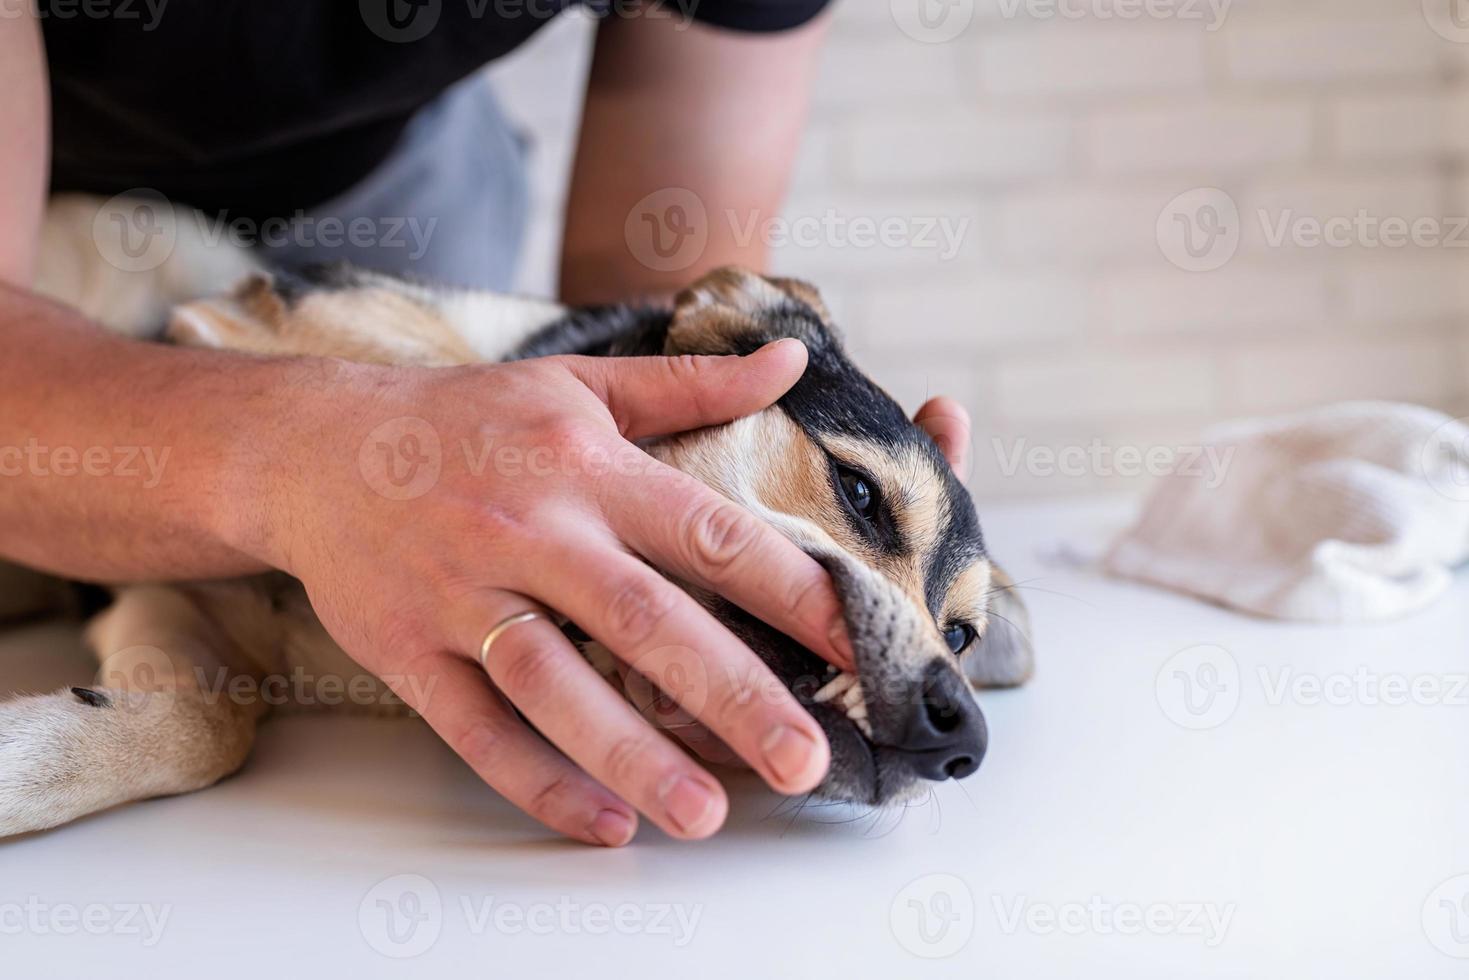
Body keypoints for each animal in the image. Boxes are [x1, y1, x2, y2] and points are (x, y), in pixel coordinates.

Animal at [0, 196, 1034, 834]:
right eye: (859, 494)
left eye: (962, 635)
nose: (964, 737)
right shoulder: (255, 315)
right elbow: (440, 383)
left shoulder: (170, 606)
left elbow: (207, 726)